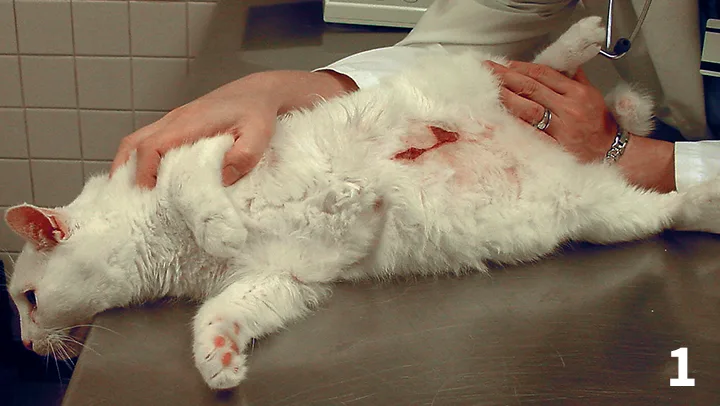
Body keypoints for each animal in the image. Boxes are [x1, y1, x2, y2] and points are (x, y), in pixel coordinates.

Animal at [4, 17, 719, 390]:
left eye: (28, 299)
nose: (29, 345)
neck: (163, 251)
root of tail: (569, 157)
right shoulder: (283, 279)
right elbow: (222, 313)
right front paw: (221, 360)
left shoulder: (216, 147)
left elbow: (193, 190)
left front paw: (218, 226)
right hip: (602, 215)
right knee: (668, 206)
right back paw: (707, 197)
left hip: (475, 79)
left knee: (537, 66)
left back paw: (582, 37)